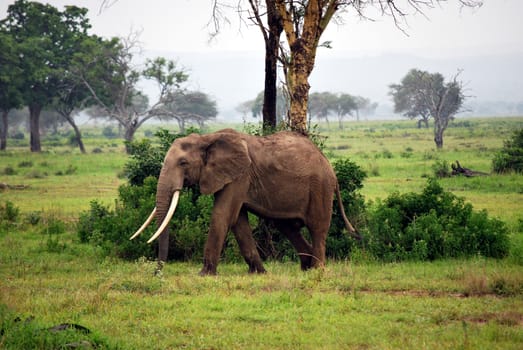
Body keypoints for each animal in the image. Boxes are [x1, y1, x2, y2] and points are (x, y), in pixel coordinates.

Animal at [131, 129, 360, 276]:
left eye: (183, 163)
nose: (157, 273)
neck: (208, 138)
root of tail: (330, 166)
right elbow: (238, 221)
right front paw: (258, 273)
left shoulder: (240, 176)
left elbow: (223, 215)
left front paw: (204, 274)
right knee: (287, 226)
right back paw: (306, 268)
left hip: (320, 187)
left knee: (317, 227)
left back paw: (317, 271)